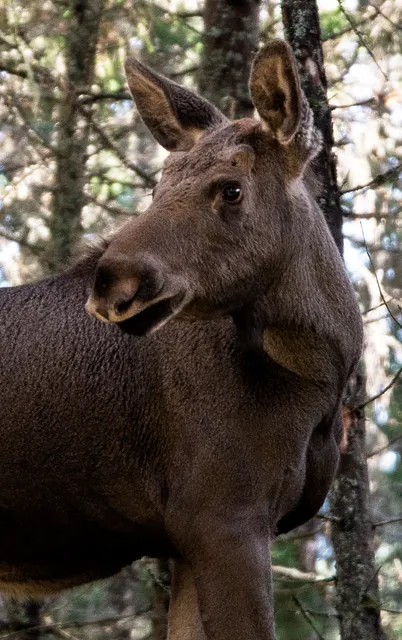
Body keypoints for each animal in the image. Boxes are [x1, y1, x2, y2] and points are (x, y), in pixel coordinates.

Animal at [0, 40, 362, 639]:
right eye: (157, 186)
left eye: (232, 189)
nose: (111, 281)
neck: (322, 380)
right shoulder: (218, 513)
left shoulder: (198, 534)